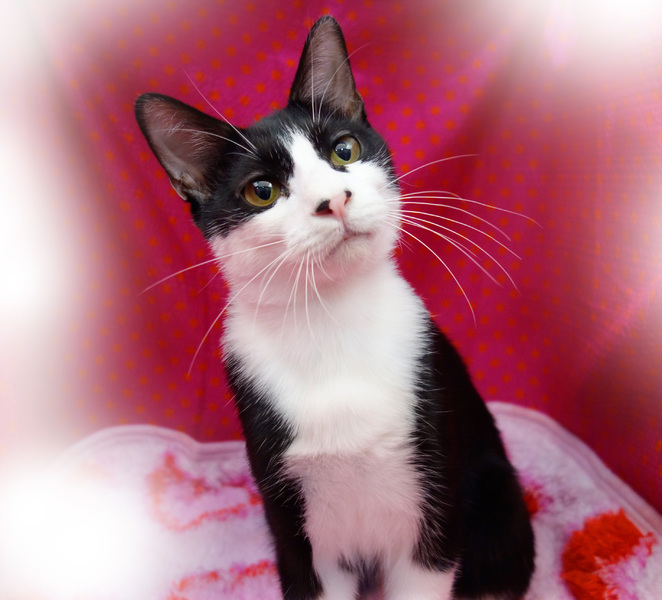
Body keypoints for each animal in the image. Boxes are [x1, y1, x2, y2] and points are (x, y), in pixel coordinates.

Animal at [135, 15, 535, 600]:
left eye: (344, 150)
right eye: (261, 190)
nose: (334, 200)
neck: (331, 318)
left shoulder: (434, 504)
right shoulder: (294, 525)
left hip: (499, 507)